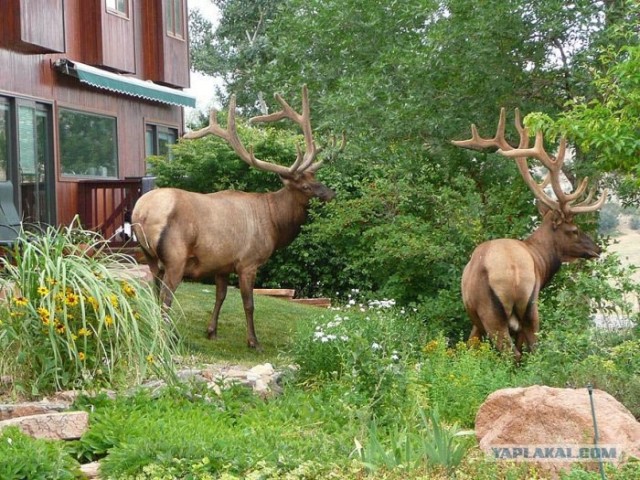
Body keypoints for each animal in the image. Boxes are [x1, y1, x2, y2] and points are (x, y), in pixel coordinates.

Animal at [131, 86, 344, 348]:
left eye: (316, 179)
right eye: (305, 187)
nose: (332, 193)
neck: (273, 223)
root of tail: (141, 212)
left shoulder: (222, 264)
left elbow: (220, 297)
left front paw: (211, 331)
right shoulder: (248, 262)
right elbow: (249, 304)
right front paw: (253, 341)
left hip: (151, 258)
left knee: (153, 292)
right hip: (175, 257)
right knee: (165, 297)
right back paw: (167, 338)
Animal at [452, 109, 608, 360]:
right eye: (574, 230)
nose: (596, 248)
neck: (539, 262)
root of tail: (514, 271)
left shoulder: (478, 321)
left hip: (495, 314)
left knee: (514, 353)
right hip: (526, 308)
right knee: (529, 350)